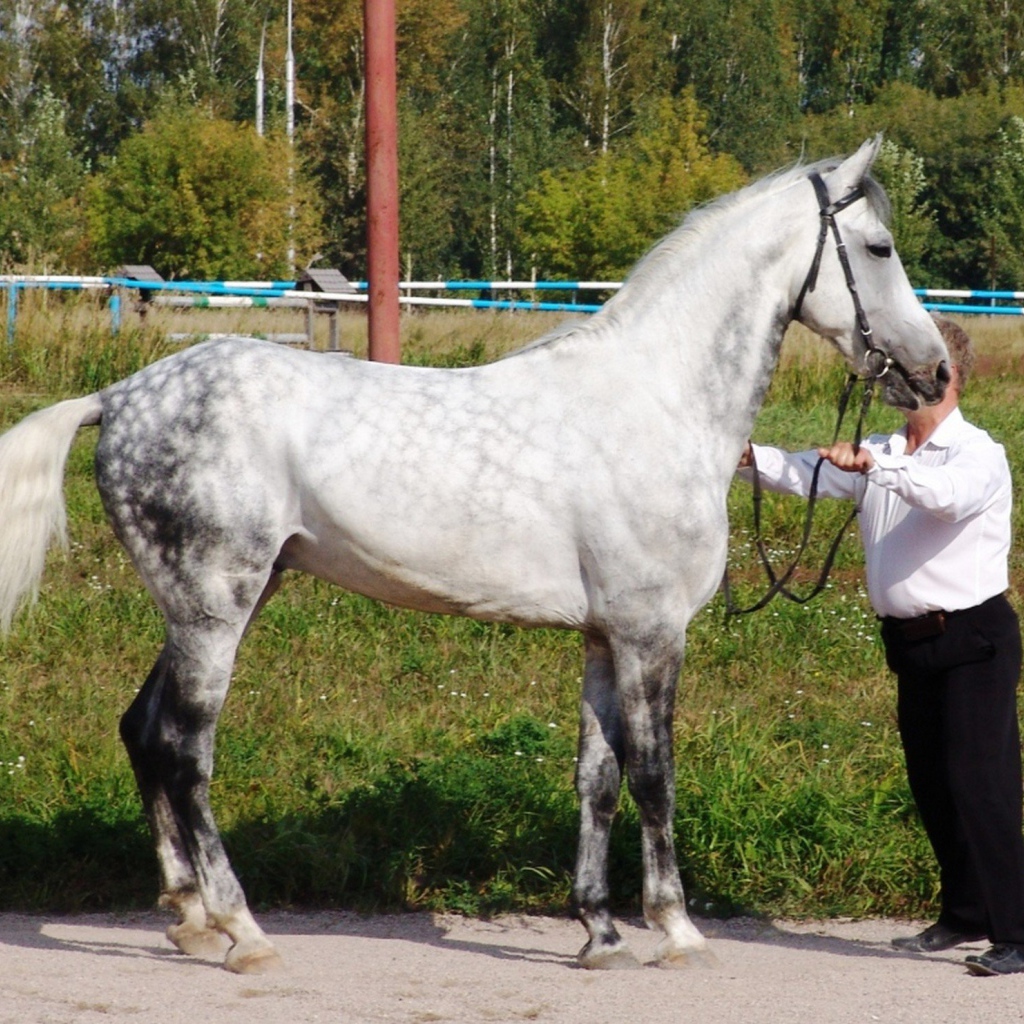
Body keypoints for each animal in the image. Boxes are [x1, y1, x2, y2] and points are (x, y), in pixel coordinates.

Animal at [0, 136, 948, 973]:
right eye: (879, 246)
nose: (936, 372)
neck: (656, 401)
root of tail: (120, 397)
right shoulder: (651, 634)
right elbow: (654, 775)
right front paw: (675, 930)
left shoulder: (604, 636)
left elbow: (597, 778)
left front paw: (600, 932)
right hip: (213, 608)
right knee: (186, 750)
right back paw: (242, 930)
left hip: (215, 603)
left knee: (143, 729)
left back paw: (189, 918)